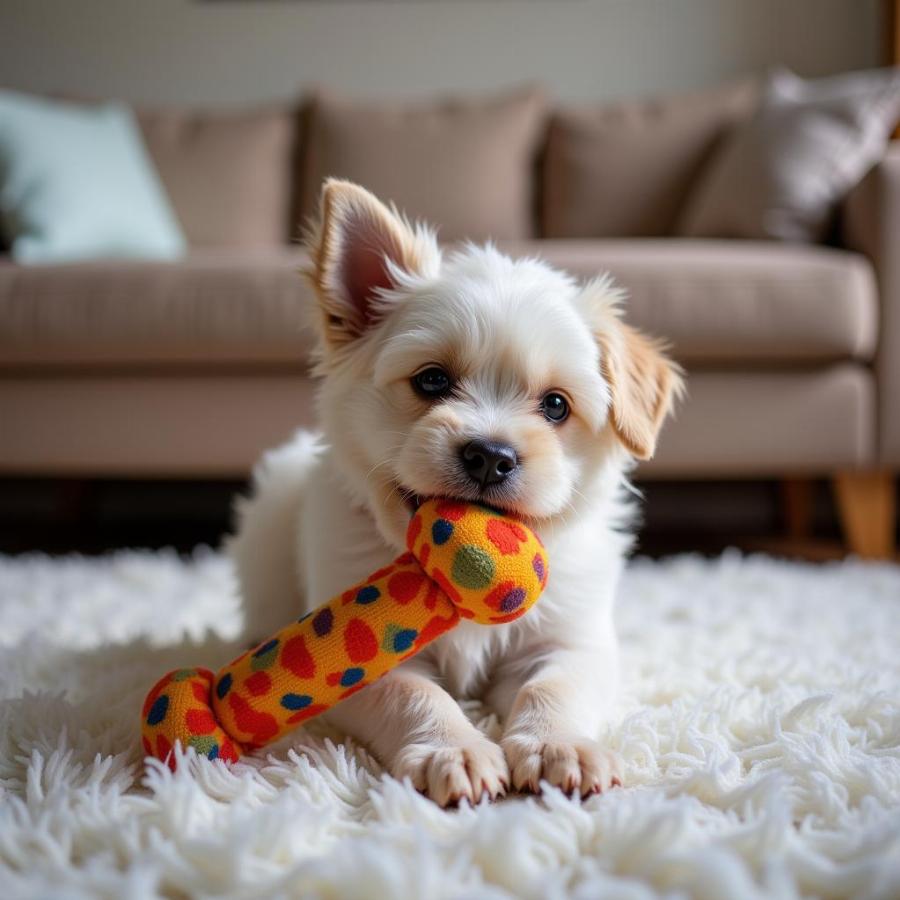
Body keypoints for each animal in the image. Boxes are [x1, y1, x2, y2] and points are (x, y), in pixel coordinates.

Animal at [227, 179, 684, 804]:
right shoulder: (360, 665)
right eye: (432, 380)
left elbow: (553, 688)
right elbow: (419, 695)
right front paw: (456, 750)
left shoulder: (572, 643)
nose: (490, 456)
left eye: (556, 406)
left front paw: (558, 746)